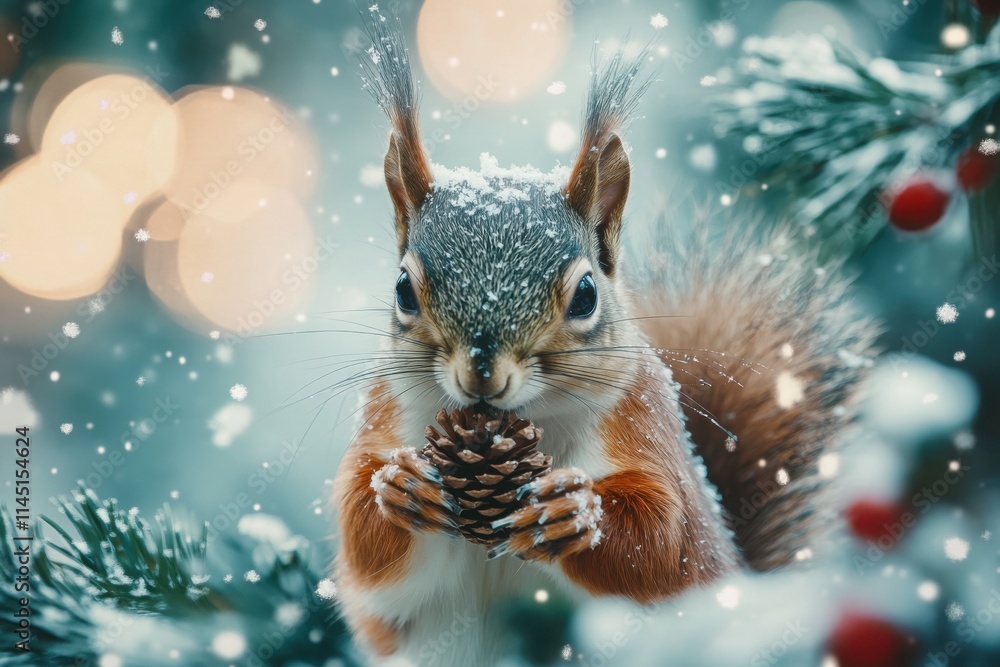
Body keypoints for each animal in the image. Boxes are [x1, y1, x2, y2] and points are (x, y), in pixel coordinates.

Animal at [333, 13, 878, 667]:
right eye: (403, 290)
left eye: (586, 295)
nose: (483, 372)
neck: (525, 419)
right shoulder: (384, 413)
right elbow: (364, 551)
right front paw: (401, 490)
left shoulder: (642, 419)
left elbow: (664, 545)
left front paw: (574, 513)